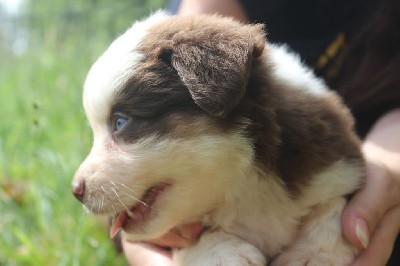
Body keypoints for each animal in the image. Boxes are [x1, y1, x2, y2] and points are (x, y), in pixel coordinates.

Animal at [72, 11, 366, 264]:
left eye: (120, 122)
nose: (76, 191)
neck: (242, 182)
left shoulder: (337, 162)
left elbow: (332, 209)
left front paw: (312, 255)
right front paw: (221, 254)